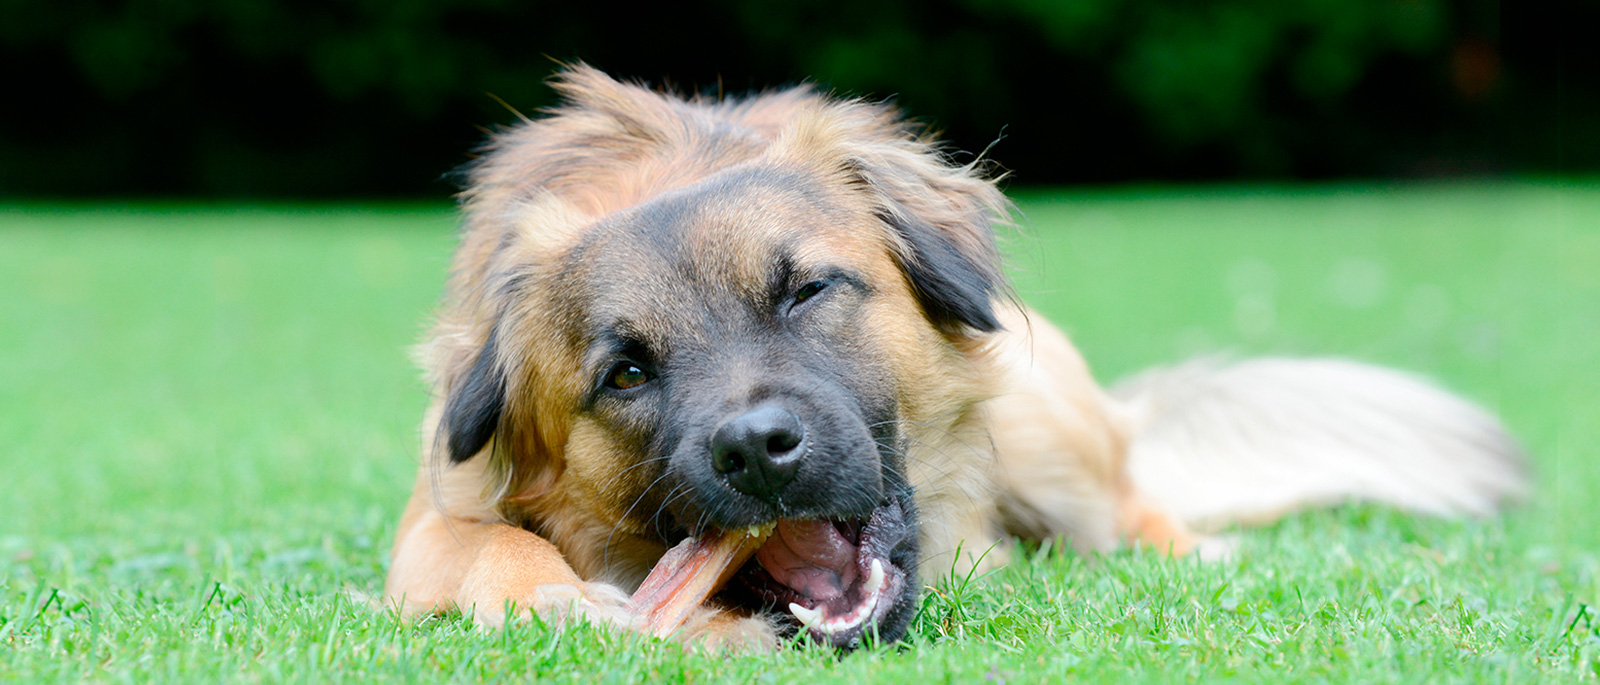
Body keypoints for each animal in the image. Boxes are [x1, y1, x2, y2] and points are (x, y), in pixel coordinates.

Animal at [380, 66, 1529, 649]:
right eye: (625, 372)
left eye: (805, 290)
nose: (755, 449)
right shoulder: (432, 517)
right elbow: (485, 546)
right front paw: (552, 595)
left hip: (1048, 418)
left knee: (1133, 510)